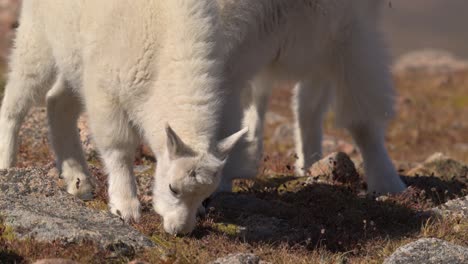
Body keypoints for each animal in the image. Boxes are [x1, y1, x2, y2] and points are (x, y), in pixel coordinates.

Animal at [0, 0, 249, 235]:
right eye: (172, 188)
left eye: (206, 194)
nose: (179, 231)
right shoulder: (107, 90)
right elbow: (119, 147)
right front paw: (125, 207)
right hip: (38, 36)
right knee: (16, 97)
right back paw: (6, 164)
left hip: (74, 60)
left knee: (56, 102)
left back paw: (78, 180)